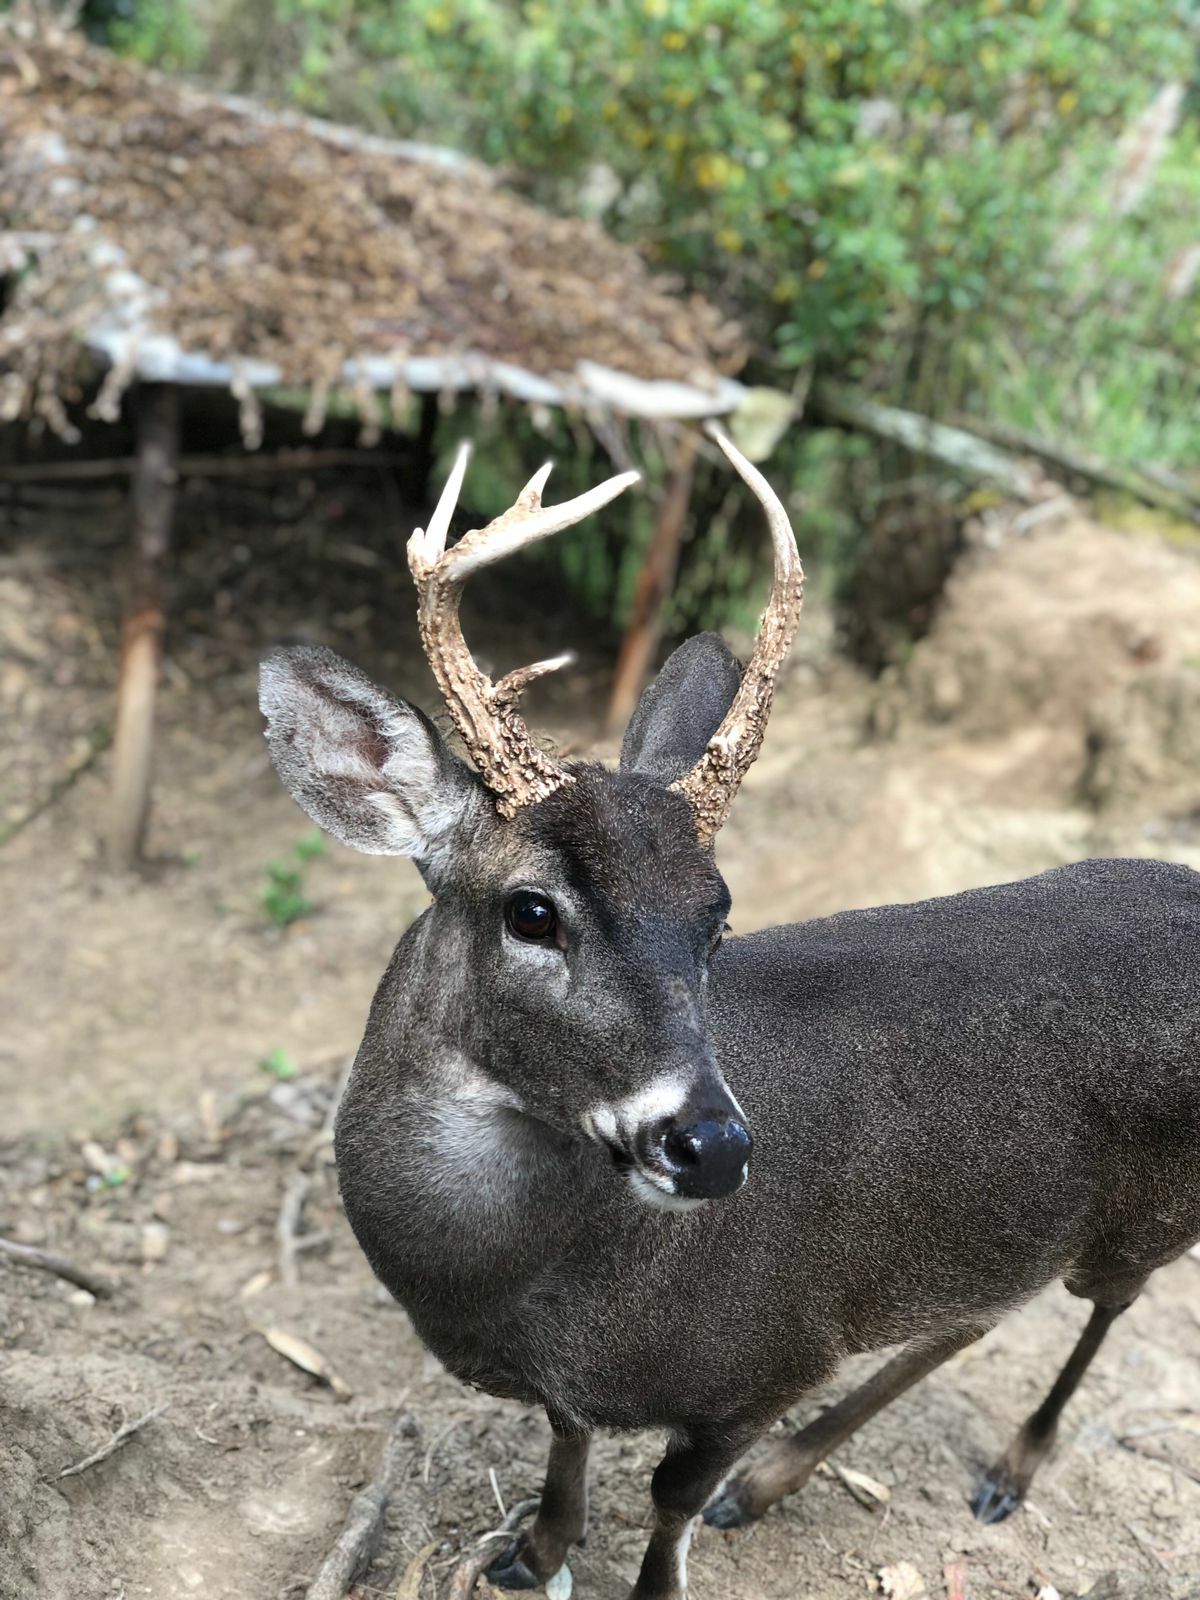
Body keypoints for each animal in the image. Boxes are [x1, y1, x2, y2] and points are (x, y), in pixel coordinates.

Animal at [260, 428, 1200, 1600]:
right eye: (532, 909)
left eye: (719, 918)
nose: (710, 1145)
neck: (525, 1300)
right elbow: (568, 1435)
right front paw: (535, 1548)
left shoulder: (771, 1355)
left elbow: (669, 1501)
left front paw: (642, 1562)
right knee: (984, 1309)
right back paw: (778, 1482)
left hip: (1159, 1209)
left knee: (1105, 1304)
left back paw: (1006, 1470)